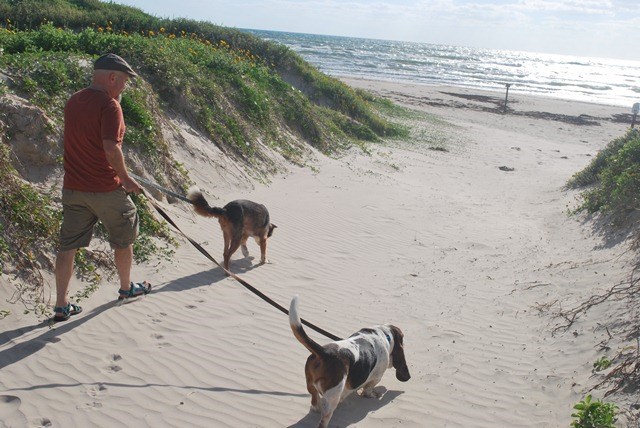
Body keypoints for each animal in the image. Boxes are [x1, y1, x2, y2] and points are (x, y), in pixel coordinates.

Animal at [288, 298, 410, 428]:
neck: (384, 334)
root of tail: (324, 352)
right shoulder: (377, 377)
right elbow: (368, 389)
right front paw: (372, 395)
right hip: (332, 398)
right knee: (324, 419)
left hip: (311, 385)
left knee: (314, 400)